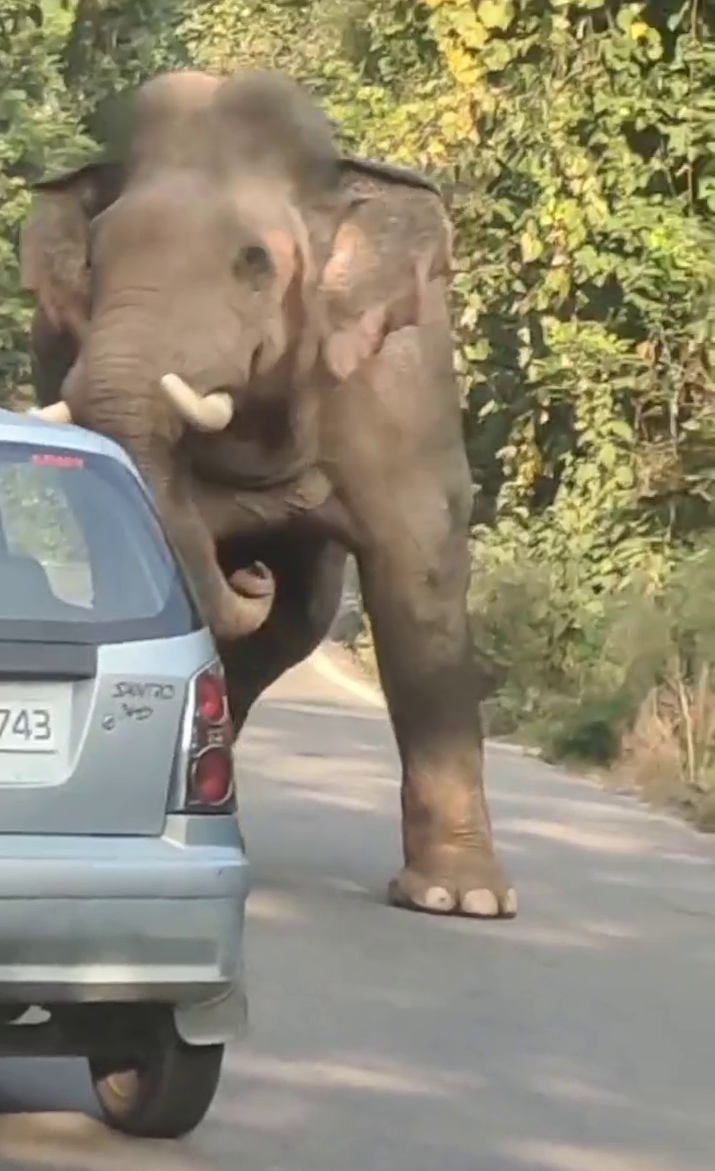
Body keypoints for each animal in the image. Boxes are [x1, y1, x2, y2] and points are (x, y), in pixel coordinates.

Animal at [19, 66, 517, 922]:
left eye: (253, 261)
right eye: (94, 261)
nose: (251, 565)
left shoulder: (400, 380)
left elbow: (418, 578)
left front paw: (461, 899)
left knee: (294, 622)